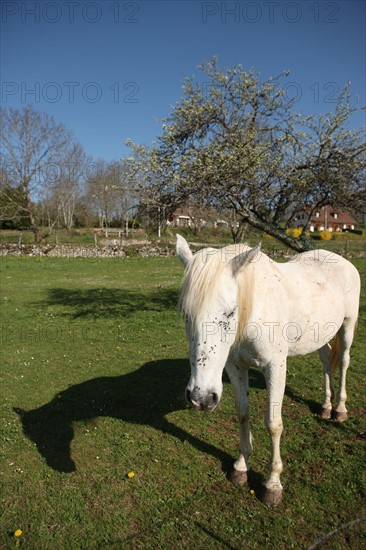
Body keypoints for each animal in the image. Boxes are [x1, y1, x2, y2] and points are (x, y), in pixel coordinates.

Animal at [177, 235, 360, 506]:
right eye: (186, 314)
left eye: (230, 312)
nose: (201, 398)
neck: (253, 312)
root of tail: (341, 260)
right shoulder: (235, 366)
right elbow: (243, 413)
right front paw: (240, 467)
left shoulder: (275, 367)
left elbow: (273, 424)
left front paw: (272, 484)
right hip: (321, 335)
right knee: (327, 361)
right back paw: (326, 407)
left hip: (347, 326)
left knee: (344, 362)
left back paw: (339, 409)